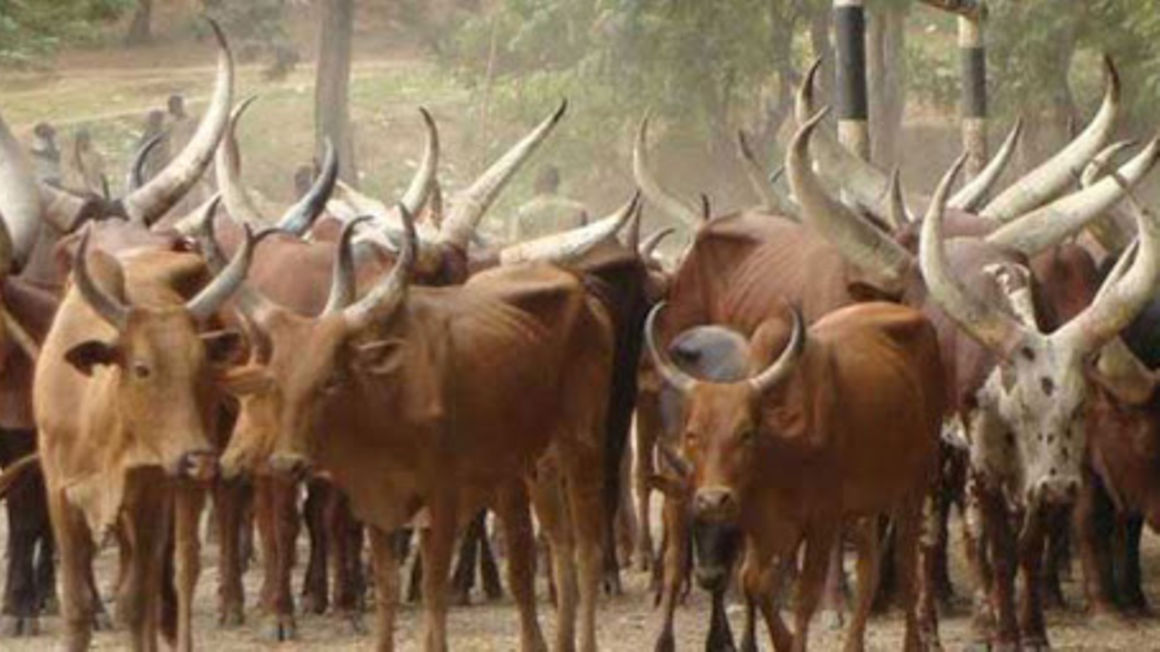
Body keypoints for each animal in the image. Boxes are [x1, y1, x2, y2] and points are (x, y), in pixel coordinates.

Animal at [644, 299, 941, 649]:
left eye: (746, 432)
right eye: (692, 433)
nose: (714, 500)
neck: (784, 449)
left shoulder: (822, 520)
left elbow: (804, 598)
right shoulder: (766, 525)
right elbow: (755, 581)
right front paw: (782, 639)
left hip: (914, 486)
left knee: (908, 571)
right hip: (862, 505)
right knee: (870, 567)